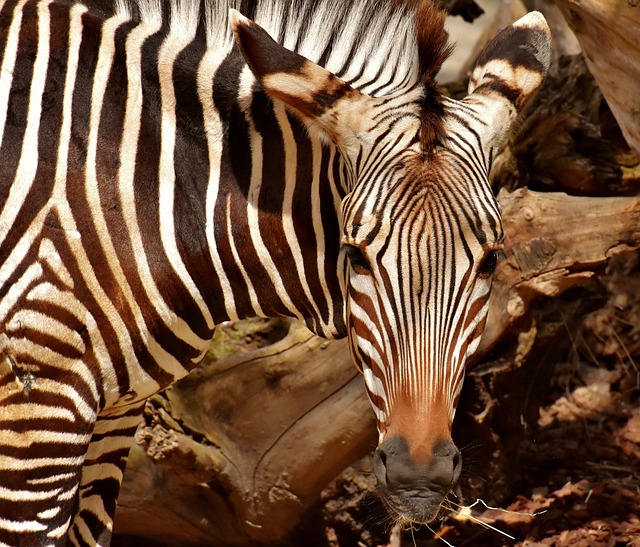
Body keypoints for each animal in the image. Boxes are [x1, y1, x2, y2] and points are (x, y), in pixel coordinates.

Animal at [0, 1, 552, 544]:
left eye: (491, 259)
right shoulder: (37, 410)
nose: (420, 480)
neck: (136, 187)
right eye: (355, 255)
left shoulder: (116, 414)